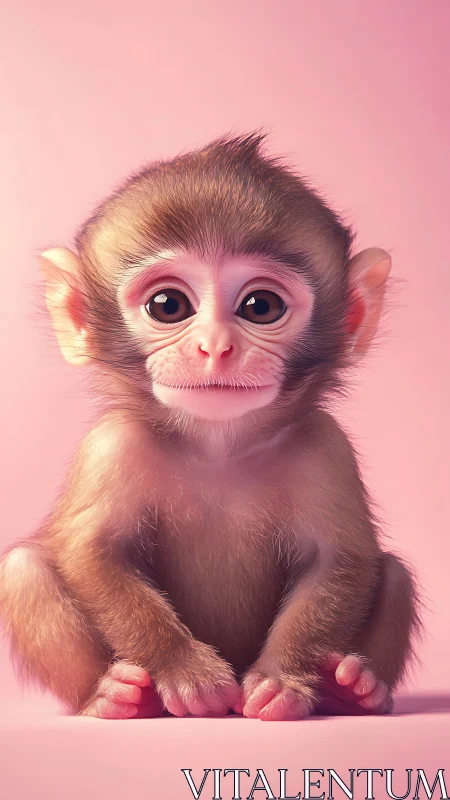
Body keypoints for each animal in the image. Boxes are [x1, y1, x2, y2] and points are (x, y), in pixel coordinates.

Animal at [0, 131, 420, 721]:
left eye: (260, 306)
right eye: (167, 305)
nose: (216, 347)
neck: (217, 447)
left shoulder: (327, 446)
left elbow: (340, 560)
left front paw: (283, 679)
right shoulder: (111, 445)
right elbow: (94, 553)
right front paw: (185, 670)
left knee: (396, 574)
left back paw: (355, 688)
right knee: (23, 571)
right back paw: (113, 696)